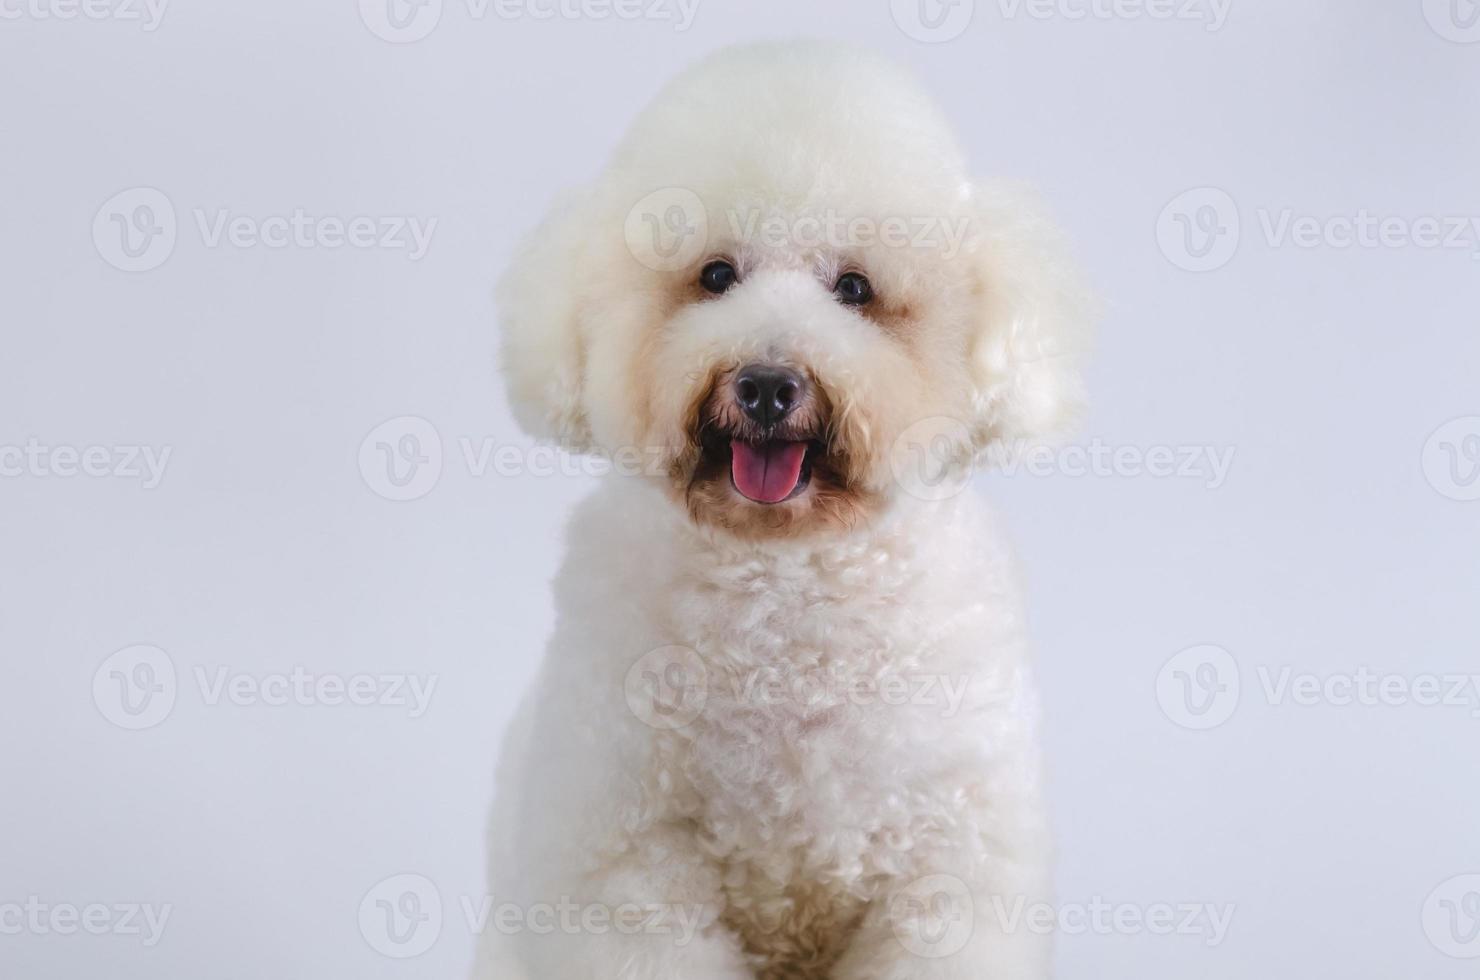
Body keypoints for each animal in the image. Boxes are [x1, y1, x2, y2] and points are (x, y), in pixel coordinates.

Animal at [479, 40, 1095, 980]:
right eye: (715, 276)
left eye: (855, 287)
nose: (767, 385)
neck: (786, 594)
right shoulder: (628, 863)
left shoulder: (945, 862)